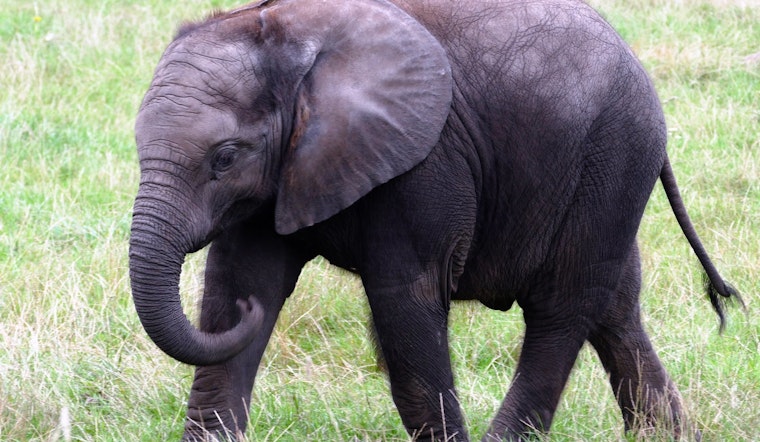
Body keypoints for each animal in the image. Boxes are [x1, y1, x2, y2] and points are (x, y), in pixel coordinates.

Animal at [129, 0, 743, 440]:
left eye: (224, 157)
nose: (253, 317)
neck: (288, 41)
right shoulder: (280, 174)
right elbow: (240, 281)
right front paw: (246, 308)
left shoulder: (426, 162)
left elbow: (406, 300)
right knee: (614, 307)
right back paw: (668, 435)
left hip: (612, 156)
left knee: (562, 308)